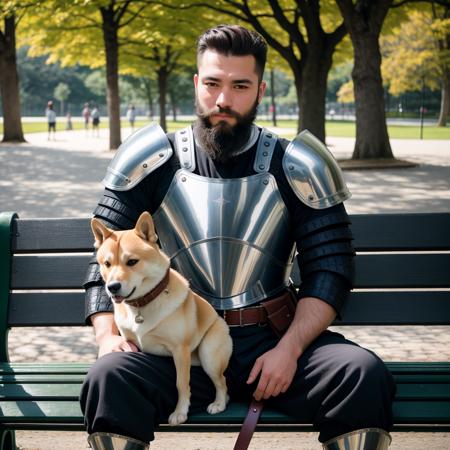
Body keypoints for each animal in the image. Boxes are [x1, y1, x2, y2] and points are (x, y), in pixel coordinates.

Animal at [91, 213, 232, 424]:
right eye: (107, 264)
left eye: (132, 261)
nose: (112, 287)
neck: (141, 305)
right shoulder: (131, 343)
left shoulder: (180, 350)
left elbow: (182, 383)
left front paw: (180, 412)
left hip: (210, 355)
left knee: (222, 382)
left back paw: (219, 403)